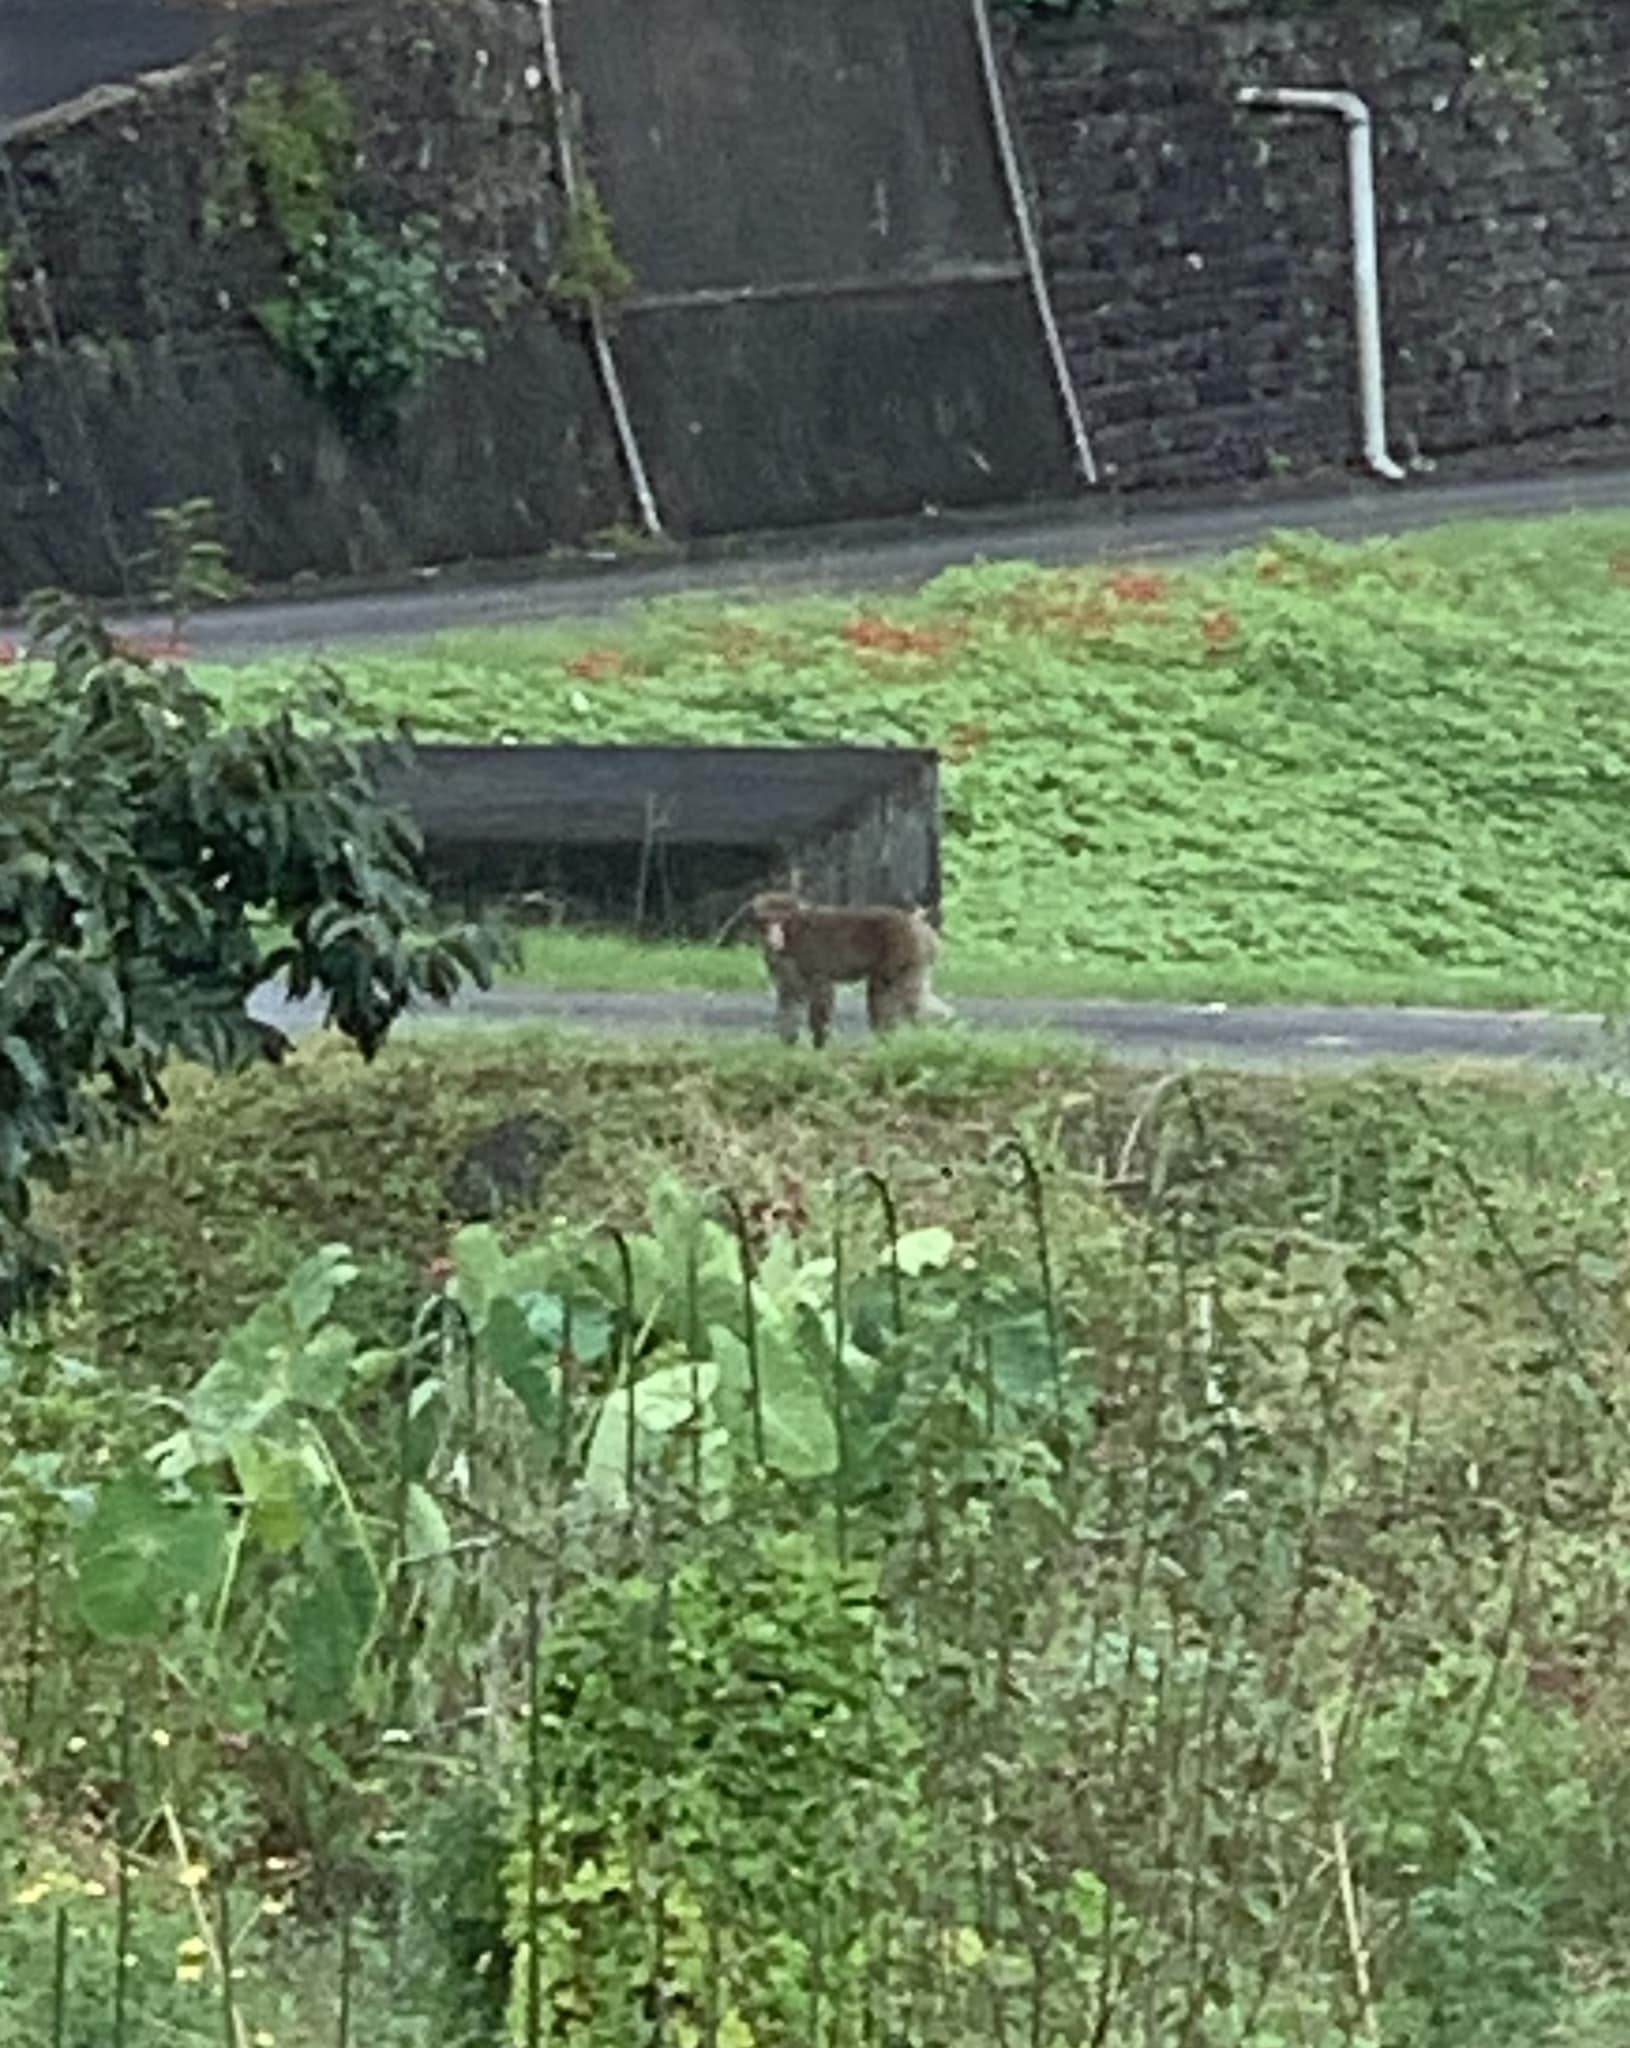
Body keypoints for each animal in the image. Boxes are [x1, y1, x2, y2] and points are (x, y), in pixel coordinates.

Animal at [749, 892, 950, 1048]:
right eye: (767, 921)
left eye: (781, 921)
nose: (774, 937)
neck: (795, 933)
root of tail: (922, 927)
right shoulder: (783, 964)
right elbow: (790, 995)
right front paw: (787, 1045)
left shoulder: (811, 957)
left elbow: (822, 992)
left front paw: (819, 1045)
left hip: (906, 951)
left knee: (895, 993)